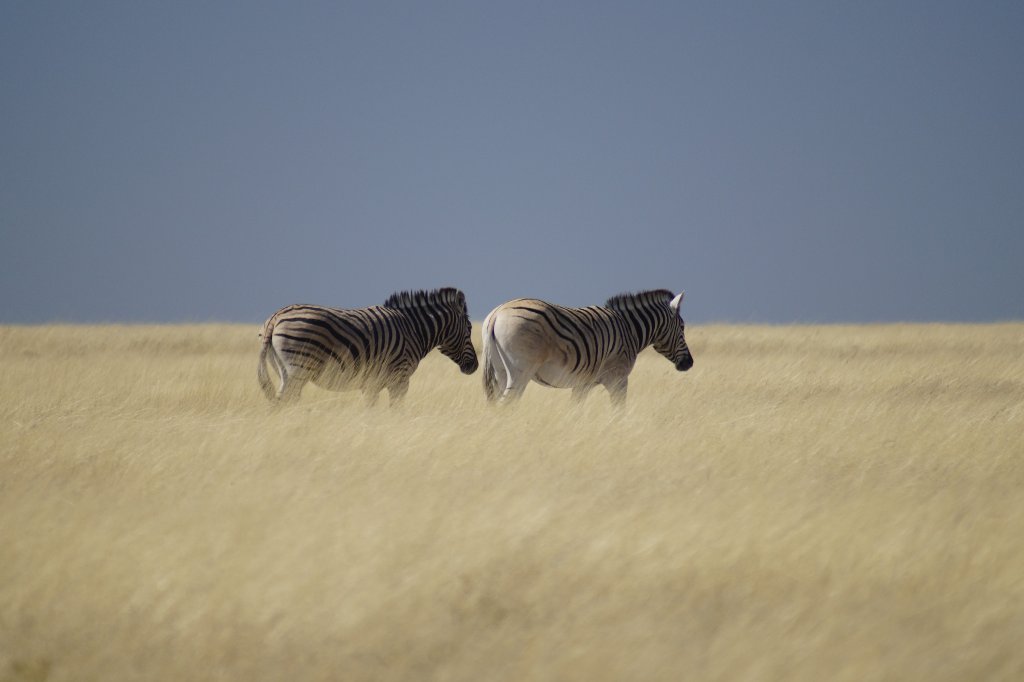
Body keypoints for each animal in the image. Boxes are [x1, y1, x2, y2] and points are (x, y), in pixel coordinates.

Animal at [256, 284, 479, 403]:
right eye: (469, 329)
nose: (475, 366)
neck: (413, 329)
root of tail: (276, 317)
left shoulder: (372, 384)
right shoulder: (399, 378)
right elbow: (397, 411)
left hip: (284, 371)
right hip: (299, 368)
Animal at [481, 288, 692, 405]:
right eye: (682, 328)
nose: (689, 363)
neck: (629, 330)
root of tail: (497, 314)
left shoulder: (583, 384)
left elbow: (576, 411)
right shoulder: (618, 378)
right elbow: (619, 411)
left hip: (500, 372)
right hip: (520, 372)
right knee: (507, 404)